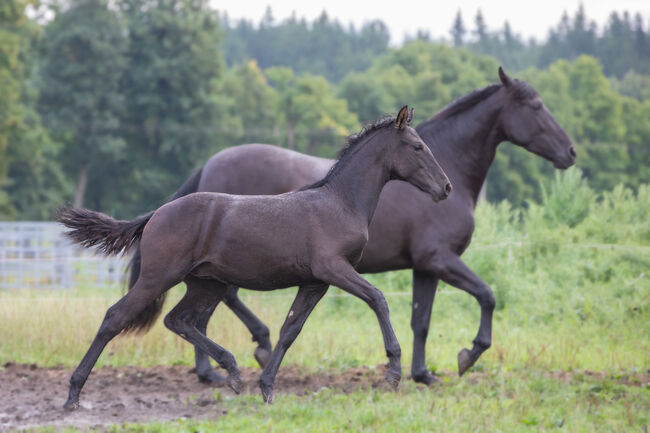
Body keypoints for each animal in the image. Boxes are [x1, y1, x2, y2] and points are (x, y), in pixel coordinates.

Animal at [57, 106, 450, 406]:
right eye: (417, 146)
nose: (445, 188)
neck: (340, 203)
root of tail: (155, 214)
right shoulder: (334, 269)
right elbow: (378, 298)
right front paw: (394, 370)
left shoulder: (314, 283)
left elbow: (290, 329)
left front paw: (267, 387)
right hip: (159, 277)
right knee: (116, 317)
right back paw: (74, 394)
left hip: (206, 284)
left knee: (179, 320)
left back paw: (232, 370)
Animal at [129, 66, 576, 384]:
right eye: (536, 106)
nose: (570, 152)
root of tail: (208, 166)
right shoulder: (440, 258)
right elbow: (486, 295)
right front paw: (466, 357)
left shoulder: (424, 267)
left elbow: (421, 320)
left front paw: (422, 374)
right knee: (223, 302)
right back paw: (238, 357)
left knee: (210, 307)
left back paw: (218, 366)